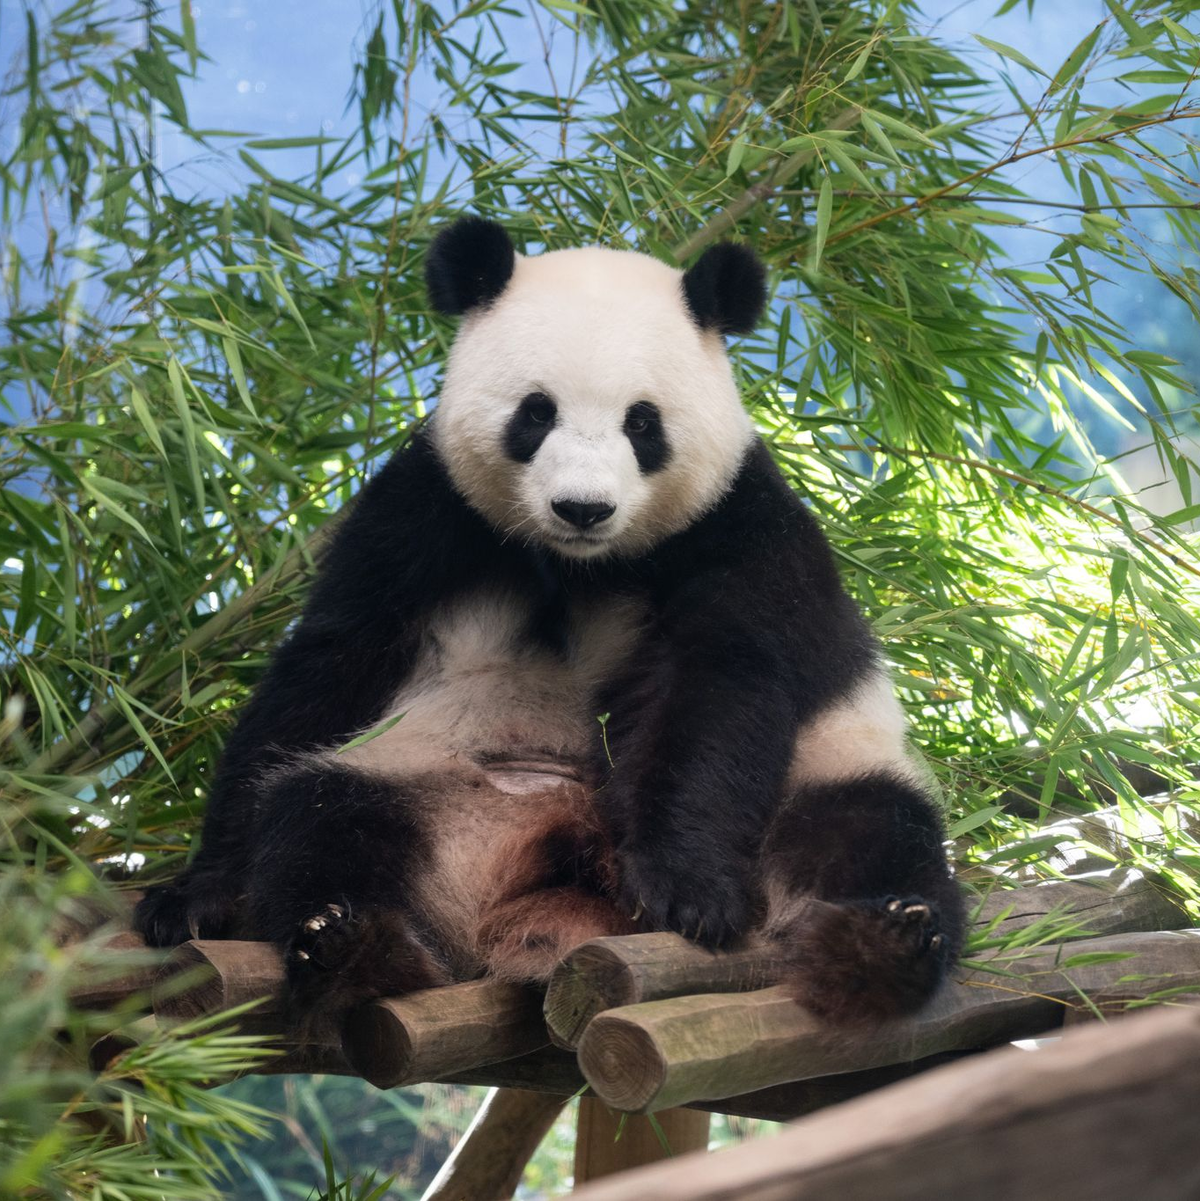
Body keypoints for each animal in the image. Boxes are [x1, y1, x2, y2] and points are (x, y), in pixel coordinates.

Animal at [135, 216, 966, 1029]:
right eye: (536, 413)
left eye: (643, 424)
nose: (583, 507)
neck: (580, 563)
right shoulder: (425, 510)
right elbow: (333, 659)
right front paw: (194, 894)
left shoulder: (737, 526)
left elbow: (717, 684)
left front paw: (689, 891)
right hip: (427, 786)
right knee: (320, 815)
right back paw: (350, 944)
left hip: (825, 773)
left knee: (870, 832)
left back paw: (881, 945)